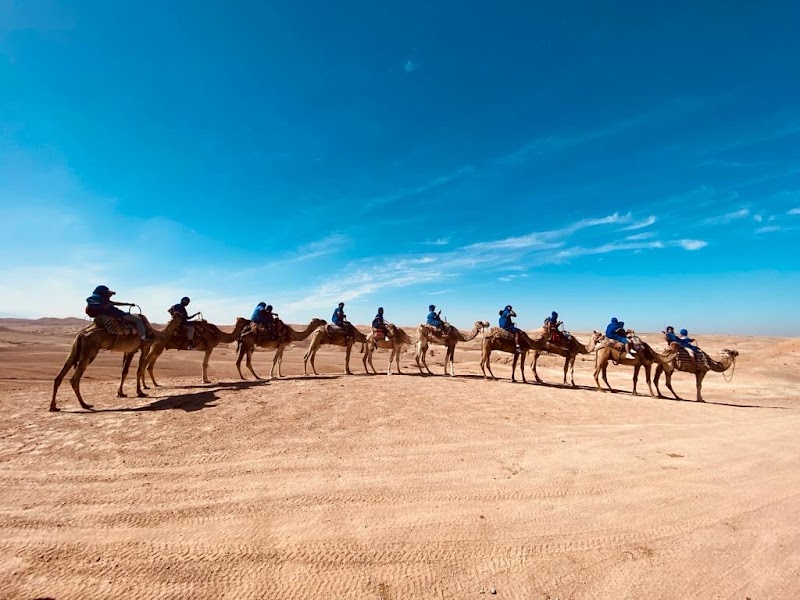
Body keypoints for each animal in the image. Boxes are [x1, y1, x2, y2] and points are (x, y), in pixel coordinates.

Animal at [51, 313, 184, 412]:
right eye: (179, 316)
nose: (184, 319)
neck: (155, 333)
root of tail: (81, 334)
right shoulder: (144, 347)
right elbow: (139, 369)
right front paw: (140, 392)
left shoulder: (130, 350)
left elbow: (124, 371)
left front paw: (121, 393)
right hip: (89, 352)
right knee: (74, 379)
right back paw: (85, 404)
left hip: (75, 350)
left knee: (59, 376)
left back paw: (54, 406)